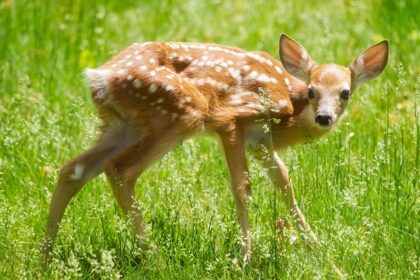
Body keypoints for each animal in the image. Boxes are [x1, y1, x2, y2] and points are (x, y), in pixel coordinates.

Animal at [41, 34, 388, 260]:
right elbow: (242, 186)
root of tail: (99, 76)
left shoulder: (260, 140)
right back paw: (156, 258)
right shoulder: (232, 119)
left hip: (125, 124)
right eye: (313, 90)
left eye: (345, 93)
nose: (324, 117)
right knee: (120, 169)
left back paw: (45, 257)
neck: (288, 107)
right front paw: (246, 258)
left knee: (73, 169)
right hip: (181, 111)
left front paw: (318, 251)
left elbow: (284, 182)